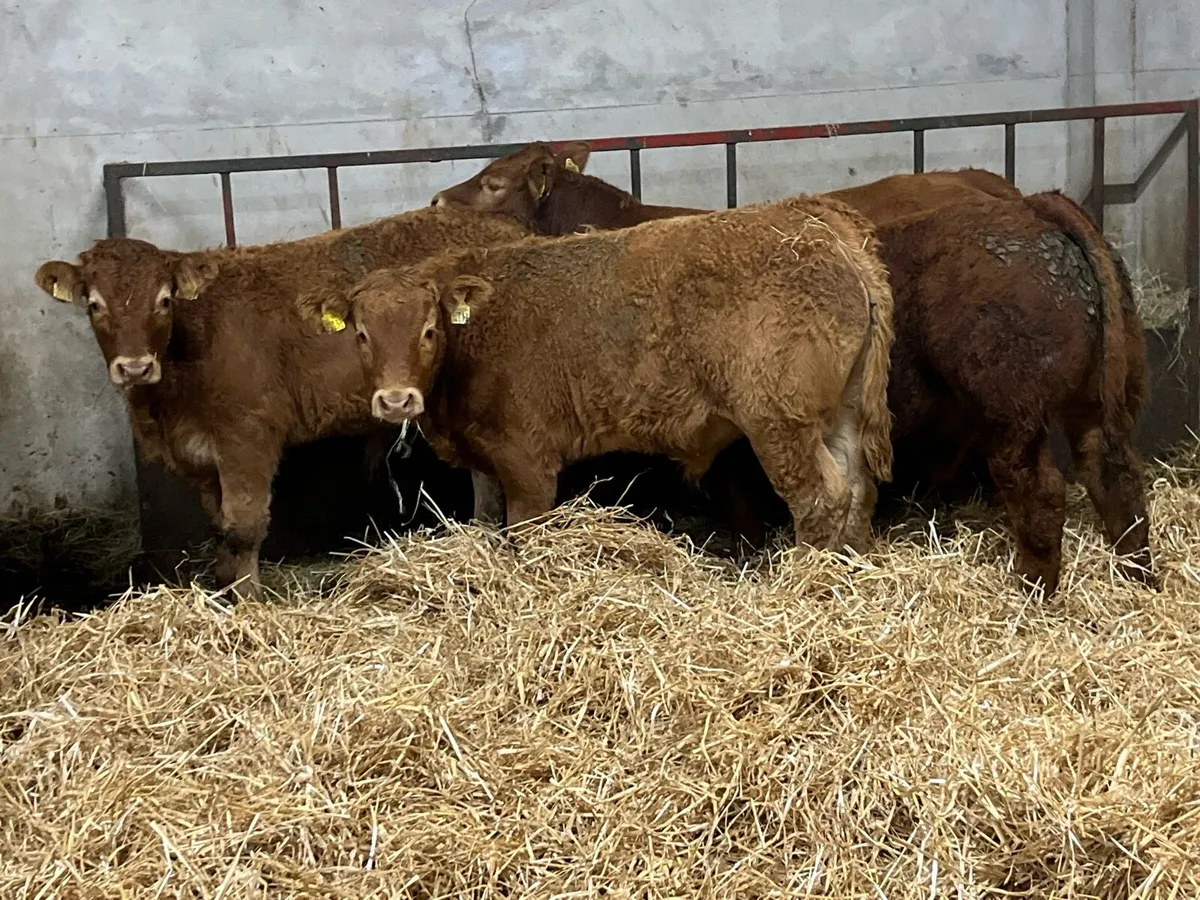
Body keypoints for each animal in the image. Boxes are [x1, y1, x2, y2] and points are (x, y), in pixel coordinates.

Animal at [34, 205, 531, 599]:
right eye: (95, 305)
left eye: (164, 300)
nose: (135, 368)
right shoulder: (202, 460)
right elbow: (221, 528)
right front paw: (224, 589)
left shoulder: (248, 438)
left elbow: (245, 527)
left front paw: (250, 602)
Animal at [303, 197, 896, 554]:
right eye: (361, 334)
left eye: (429, 330)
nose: (396, 401)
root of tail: (815, 220)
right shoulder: (485, 461)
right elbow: (485, 519)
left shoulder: (528, 462)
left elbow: (524, 531)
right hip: (840, 412)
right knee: (858, 488)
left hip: (779, 423)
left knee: (820, 497)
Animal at [434, 144, 1156, 594]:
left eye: (493, 183)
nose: (439, 199)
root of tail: (1032, 205)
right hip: (1093, 403)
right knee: (1115, 474)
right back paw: (1136, 578)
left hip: (1012, 416)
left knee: (1039, 494)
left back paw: (1032, 595)